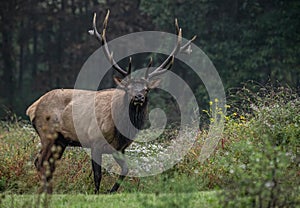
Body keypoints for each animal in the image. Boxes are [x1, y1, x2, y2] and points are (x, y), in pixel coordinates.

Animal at [26, 10, 197, 193]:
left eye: (146, 89)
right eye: (128, 88)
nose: (138, 97)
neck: (121, 129)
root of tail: (32, 107)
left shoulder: (119, 149)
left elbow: (126, 170)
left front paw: (111, 191)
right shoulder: (94, 142)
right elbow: (97, 175)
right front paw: (97, 194)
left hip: (61, 141)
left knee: (47, 164)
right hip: (48, 134)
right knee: (40, 162)